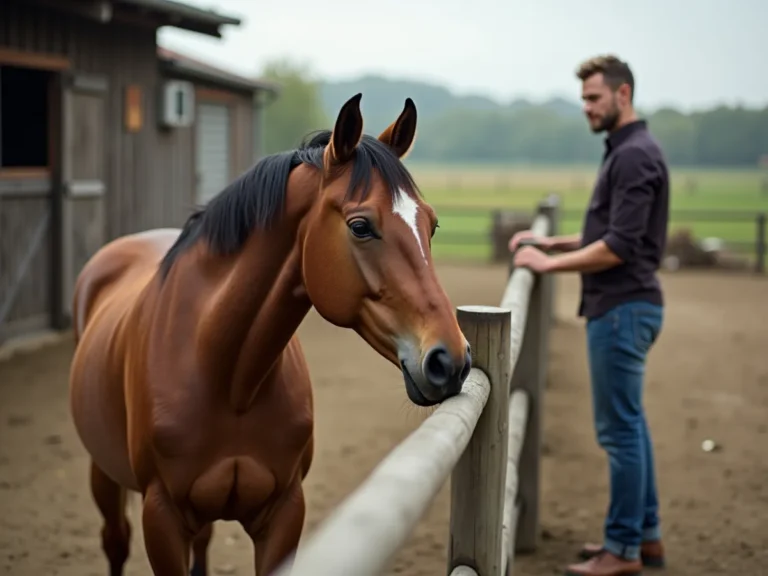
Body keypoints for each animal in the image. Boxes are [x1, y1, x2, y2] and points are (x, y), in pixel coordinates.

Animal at [68, 93, 472, 576]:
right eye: (360, 226)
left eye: (431, 225)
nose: (451, 360)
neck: (227, 377)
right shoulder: (161, 518)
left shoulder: (283, 513)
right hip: (103, 474)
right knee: (115, 540)